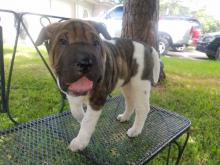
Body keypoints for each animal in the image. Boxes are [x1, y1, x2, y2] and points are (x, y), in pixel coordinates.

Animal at [35, 18, 160, 151]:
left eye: (96, 43)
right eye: (62, 41)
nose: (85, 62)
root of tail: (147, 47)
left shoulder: (97, 98)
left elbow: (88, 120)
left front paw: (80, 142)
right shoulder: (72, 96)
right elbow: (77, 113)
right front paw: (81, 121)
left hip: (140, 84)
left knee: (143, 108)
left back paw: (135, 130)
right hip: (127, 85)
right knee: (130, 102)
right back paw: (124, 117)